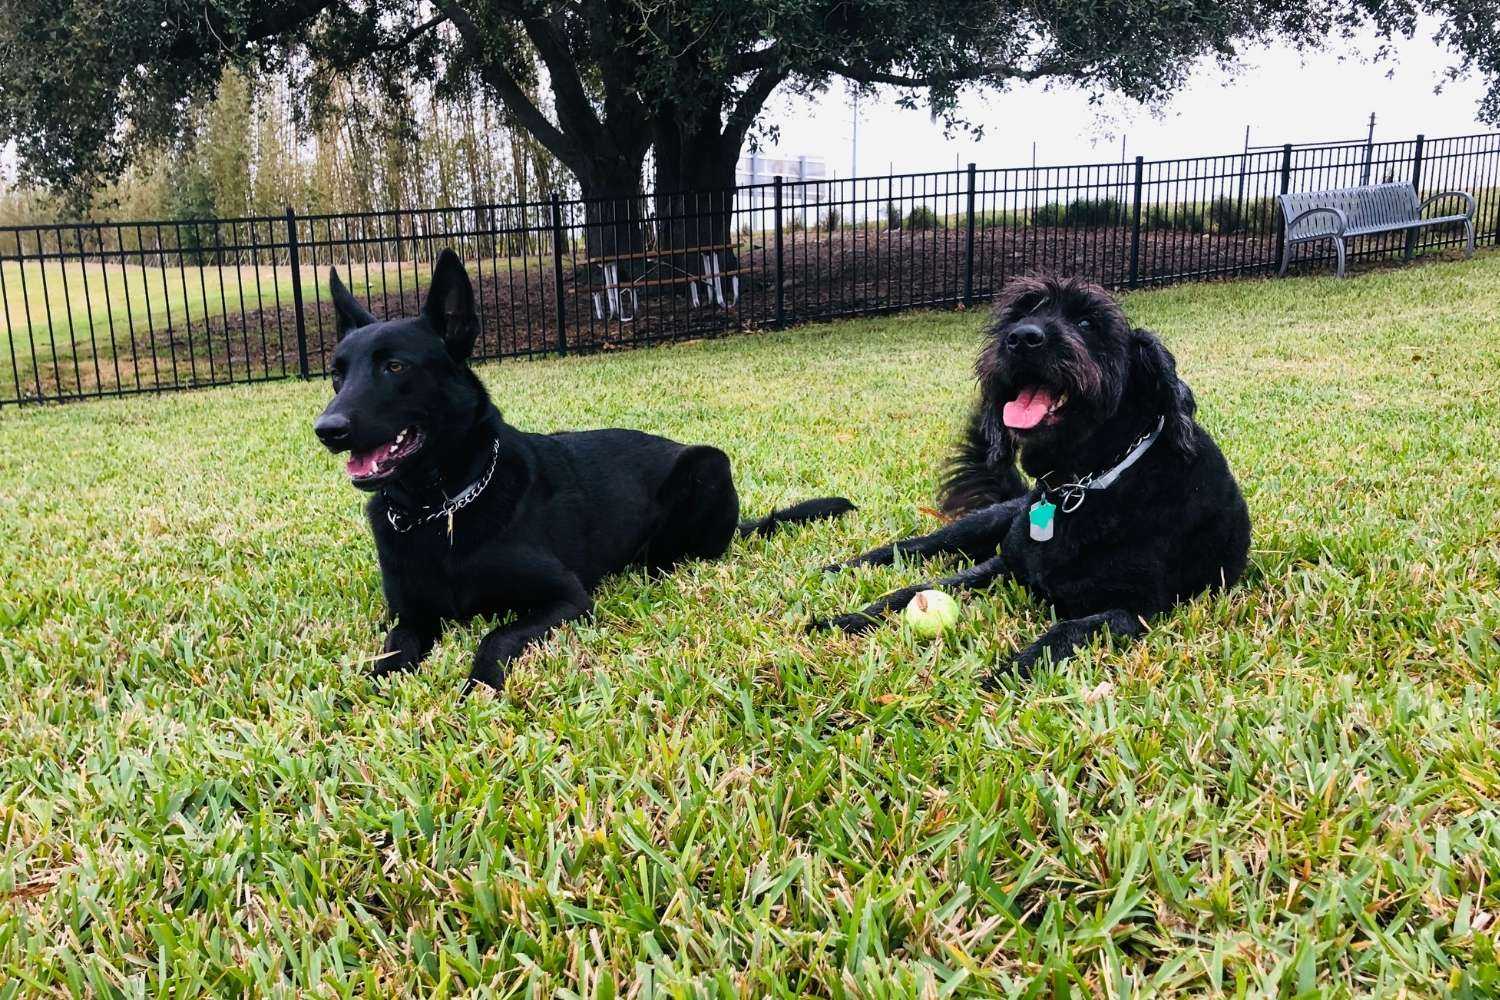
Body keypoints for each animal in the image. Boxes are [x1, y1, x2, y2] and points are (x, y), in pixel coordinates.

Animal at [313, 245, 858, 692]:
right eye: (337, 374)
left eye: (395, 367)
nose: (327, 429)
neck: (443, 508)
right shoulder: (411, 617)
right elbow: (388, 659)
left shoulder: (566, 598)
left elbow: (494, 637)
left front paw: (477, 687)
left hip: (708, 463)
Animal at [816, 274, 1248, 680]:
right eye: (1018, 315)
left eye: (1088, 322)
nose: (1021, 338)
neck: (1080, 485)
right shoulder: (1002, 564)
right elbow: (917, 588)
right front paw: (846, 619)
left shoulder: (1133, 609)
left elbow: (1063, 633)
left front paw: (1000, 680)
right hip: (981, 523)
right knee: (913, 546)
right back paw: (838, 569)